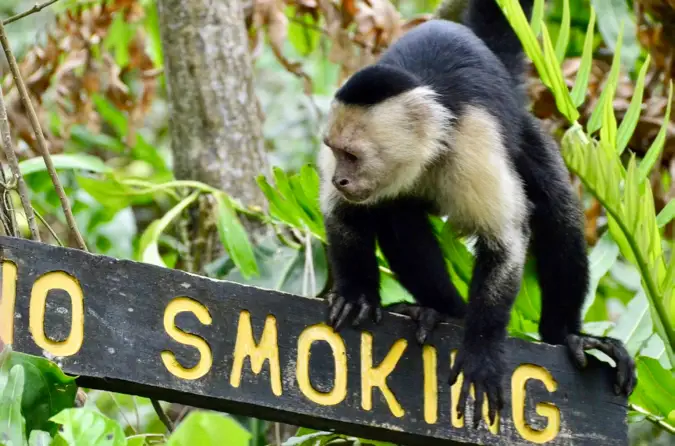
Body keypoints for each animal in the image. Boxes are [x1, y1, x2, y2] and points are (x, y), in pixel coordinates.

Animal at [320, 0, 636, 428]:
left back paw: (566, 334)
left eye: (352, 155)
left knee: (556, 209)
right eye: (335, 150)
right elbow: (342, 216)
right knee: (396, 213)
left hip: (522, 129)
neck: (427, 149)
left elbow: (504, 244)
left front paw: (481, 354)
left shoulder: (472, 140)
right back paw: (442, 311)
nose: (338, 178)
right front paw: (356, 293)